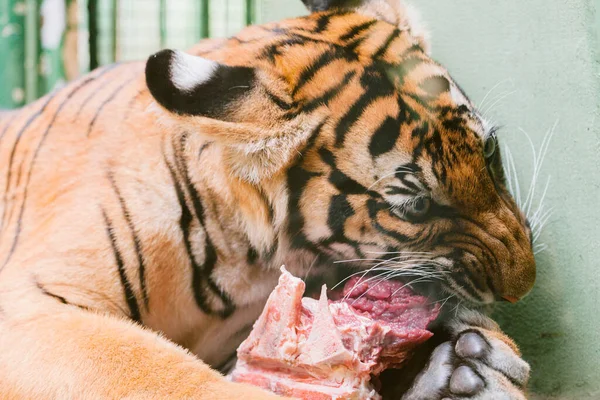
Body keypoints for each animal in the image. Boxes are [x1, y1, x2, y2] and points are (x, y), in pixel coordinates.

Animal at [0, 0, 536, 398]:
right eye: (415, 206)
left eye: (490, 151)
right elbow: (165, 373)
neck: (246, 256)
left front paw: (475, 364)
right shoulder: (31, 309)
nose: (524, 285)